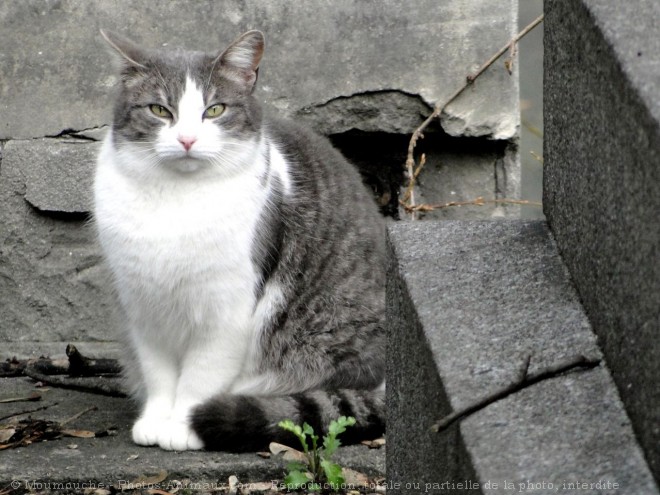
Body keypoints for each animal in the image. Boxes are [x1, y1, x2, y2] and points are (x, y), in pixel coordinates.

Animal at [93, 29, 386, 452]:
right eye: (159, 110)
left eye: (214, 110)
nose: (186, 139)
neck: (176, 201)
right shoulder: (143, 305)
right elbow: (158, 372)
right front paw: (155, 420)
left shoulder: (227, 309)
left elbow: (200, 376)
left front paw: (183, 426)